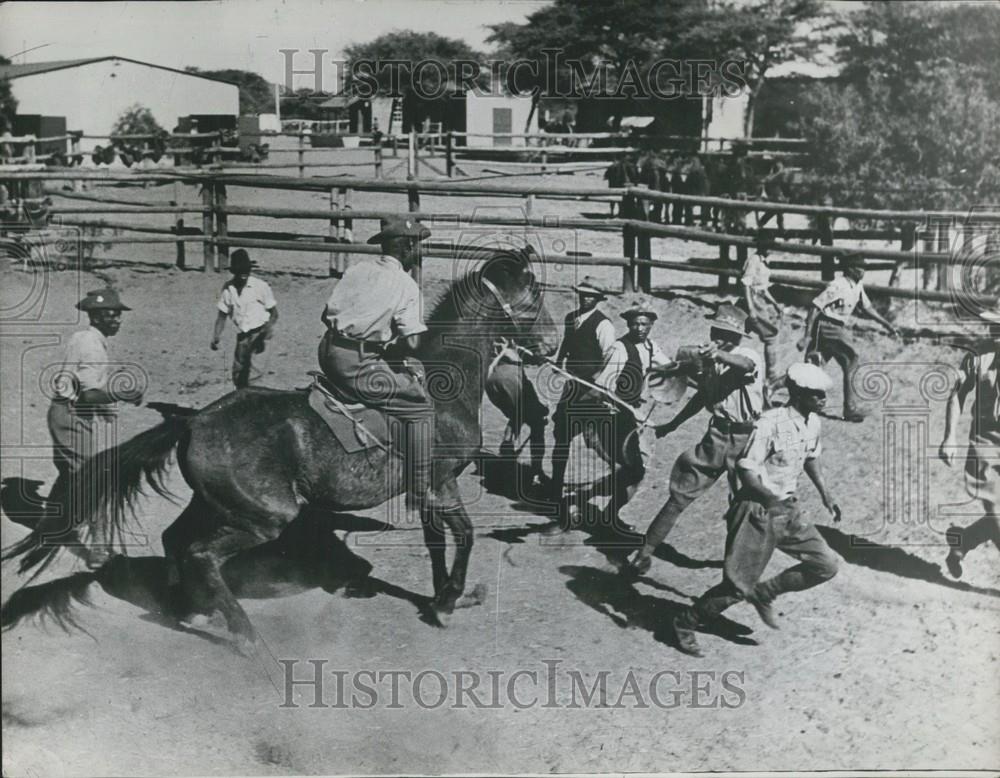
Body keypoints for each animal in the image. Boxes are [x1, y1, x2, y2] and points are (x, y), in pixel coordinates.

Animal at [3, 246, 560, 652]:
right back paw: (243, 633)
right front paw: (447, 602)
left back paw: (187, 606)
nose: (553, 343)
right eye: (533, 299)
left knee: (174, 539)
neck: (445, 387)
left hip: (216, 503)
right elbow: (463, 536)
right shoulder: (441, 481)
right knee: (202, 554)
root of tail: (194, 421)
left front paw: (444, 596)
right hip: (265, 516)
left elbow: (437, 542)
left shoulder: (429, 489)